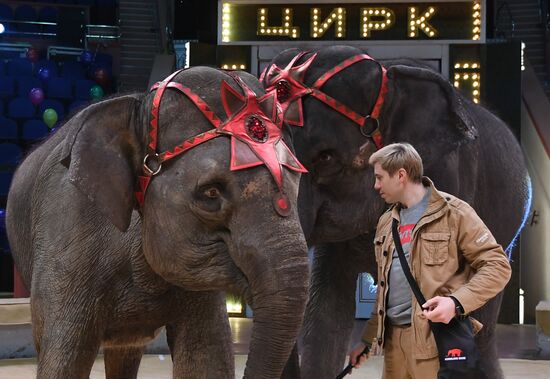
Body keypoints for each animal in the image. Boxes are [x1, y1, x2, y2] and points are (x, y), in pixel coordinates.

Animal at [6, 67, 312, 379]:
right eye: (211, 193)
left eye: (295, 180)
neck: (138, 110)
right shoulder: (68, 238)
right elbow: (62, 363)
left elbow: (206, 359)